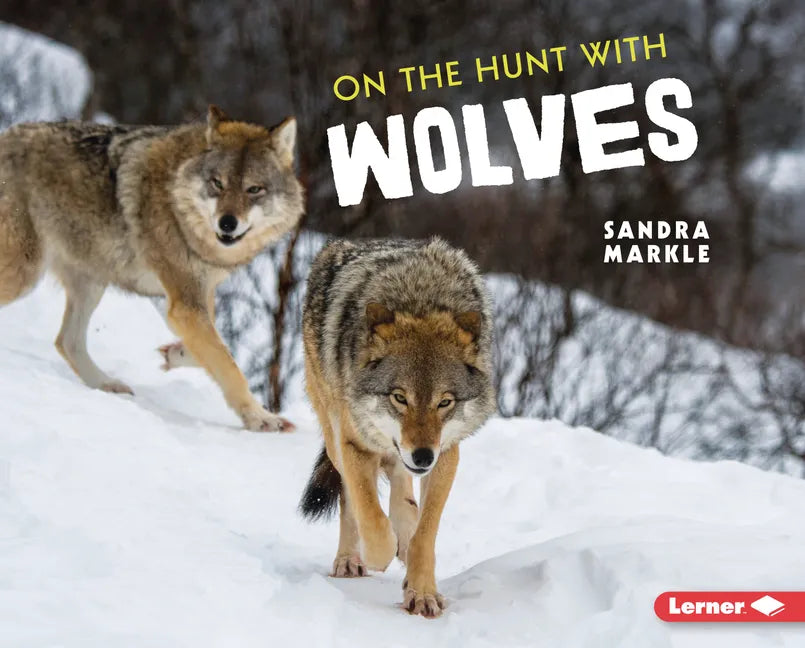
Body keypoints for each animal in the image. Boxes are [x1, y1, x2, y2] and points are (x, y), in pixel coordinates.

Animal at [0, 106, 304, 431]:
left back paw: (106, 384)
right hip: (25, 274)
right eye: (217, 183)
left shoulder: (193, 297)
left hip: (91, 283)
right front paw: (261, 419)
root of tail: (6, 134)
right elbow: (229, 366)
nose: (227, 223)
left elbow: (214, 351)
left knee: (66, 341)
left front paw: (174, 354)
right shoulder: (185, 304)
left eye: (254, 189)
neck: (177, 200)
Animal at [299, 237, 496, 617]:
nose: (422, 456)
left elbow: (425, 535)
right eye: (399, 397)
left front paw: (422, 592)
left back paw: (404, 524)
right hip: (335, 438)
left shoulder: (446, 454)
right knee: (351, 498)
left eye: (444, 402)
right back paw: (350, 559)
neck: (419, 296)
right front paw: (383, 550)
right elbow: (372, 522)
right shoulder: (355, 446)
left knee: (400, 484)